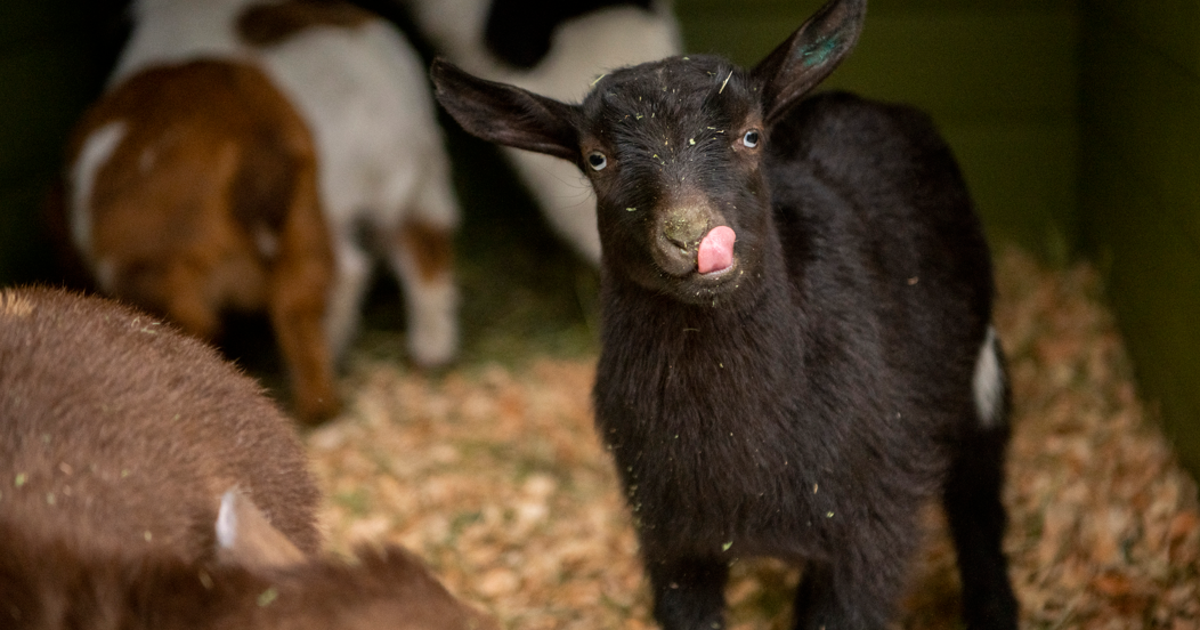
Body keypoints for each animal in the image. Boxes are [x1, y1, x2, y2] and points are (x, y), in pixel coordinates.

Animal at [431, 0, 1020, 627]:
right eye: (597, 158)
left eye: (752, 136)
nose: (692, 236)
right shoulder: (670, 535)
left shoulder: (873, 524)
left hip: (975, 372)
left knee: (979, 490)